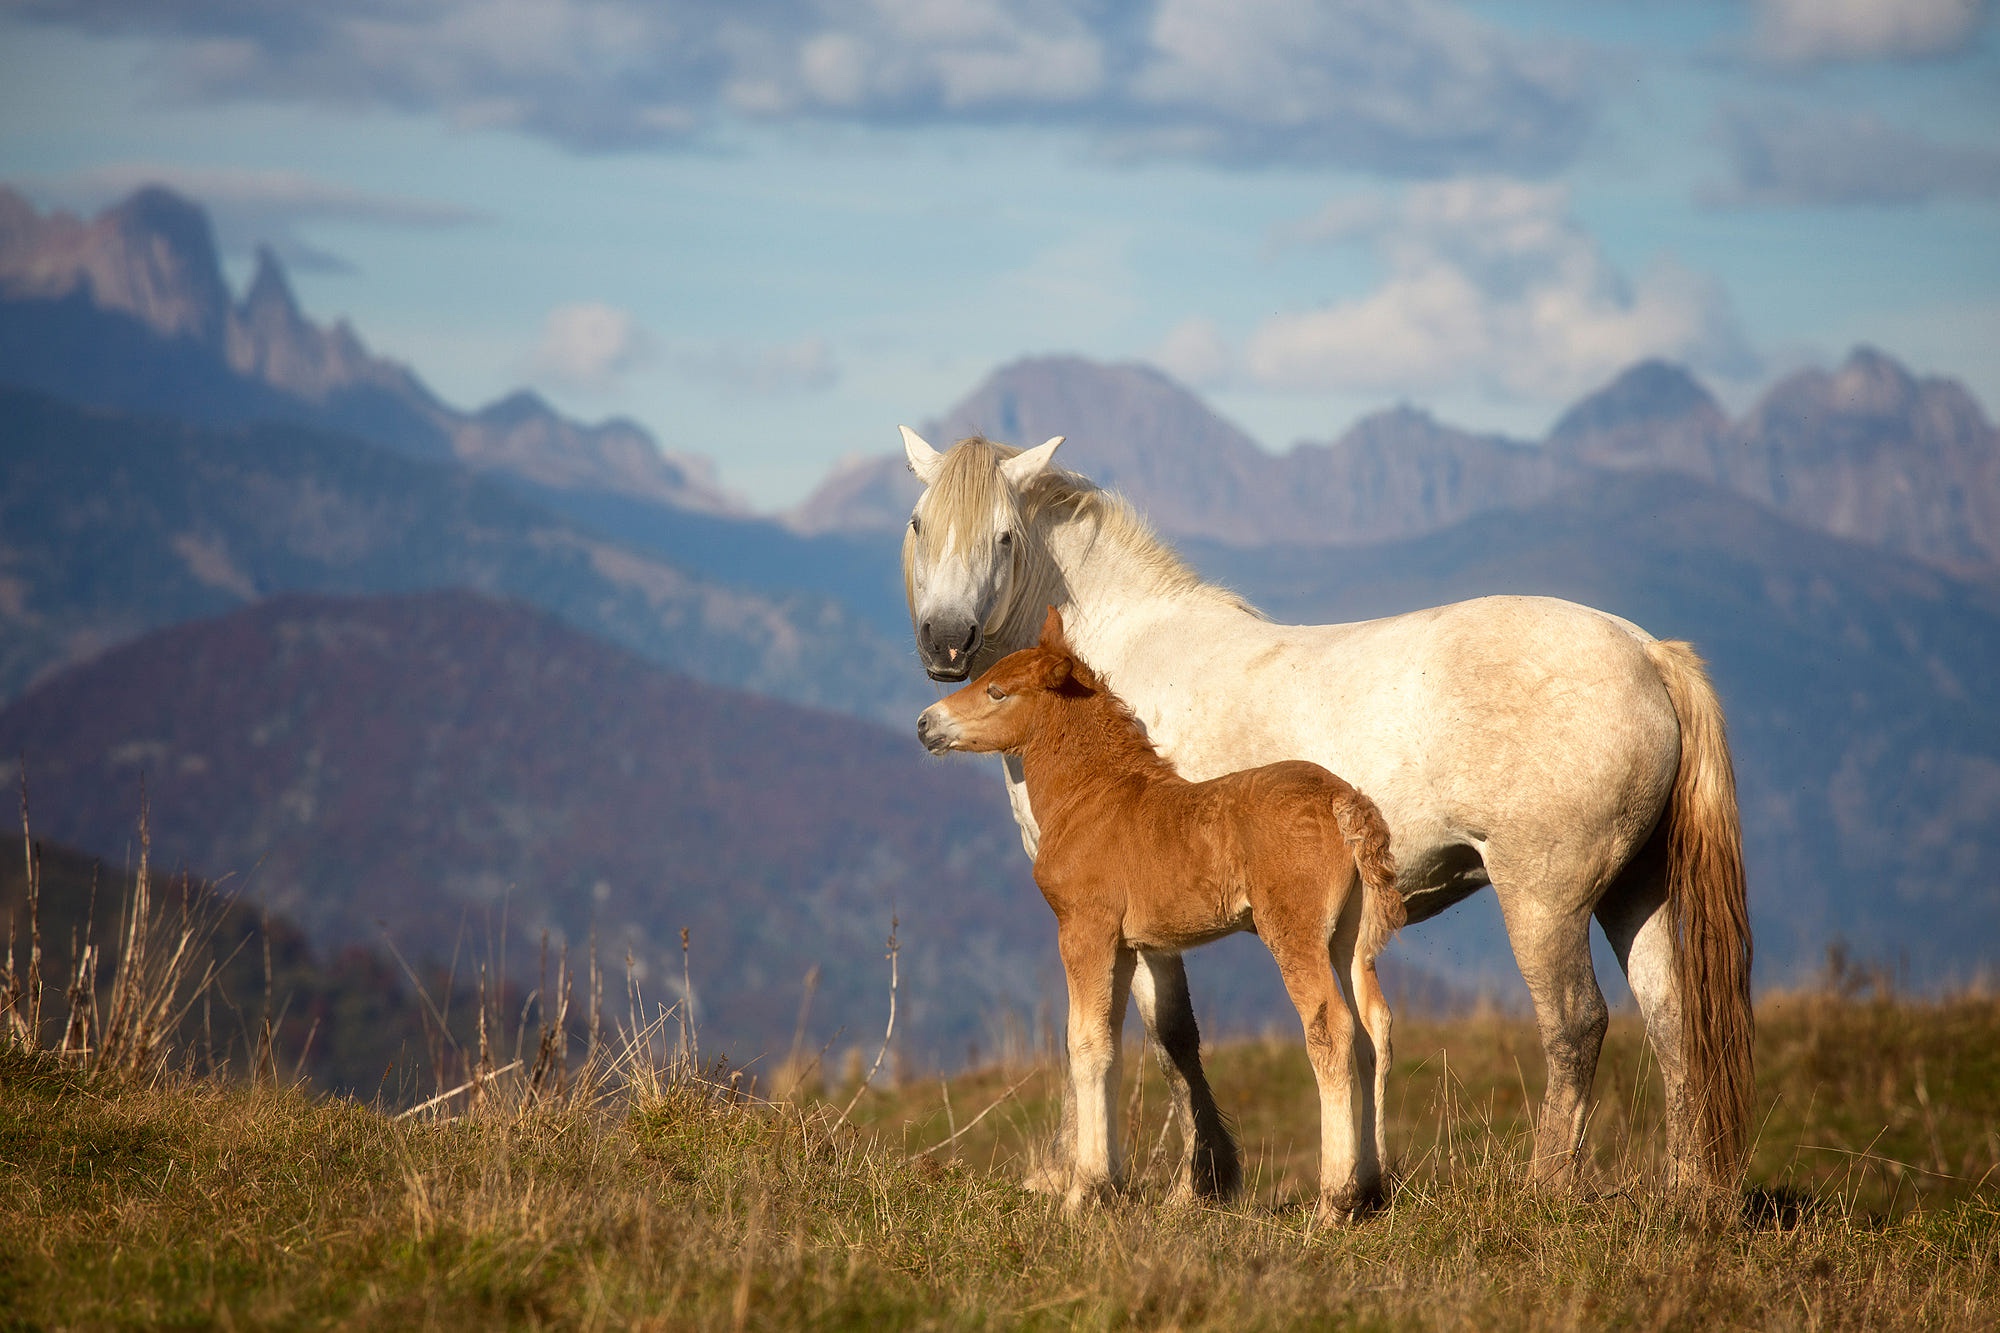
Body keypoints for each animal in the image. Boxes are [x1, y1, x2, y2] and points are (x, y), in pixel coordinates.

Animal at [920, 608, 1408, 1208]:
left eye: (996, 691)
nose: (925, 724)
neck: (1093, 797)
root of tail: (1345, 802)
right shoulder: (1130, 946)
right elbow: (1115, 1046)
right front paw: (1108, 1182)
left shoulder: (1084, 929)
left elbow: (1083, 1043)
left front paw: (1082, 1194)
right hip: (1350, 937)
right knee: (1372, 1029)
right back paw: (1372, 1188)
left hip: (1294, 931)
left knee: (1332, 1030)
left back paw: (1333, 1201)